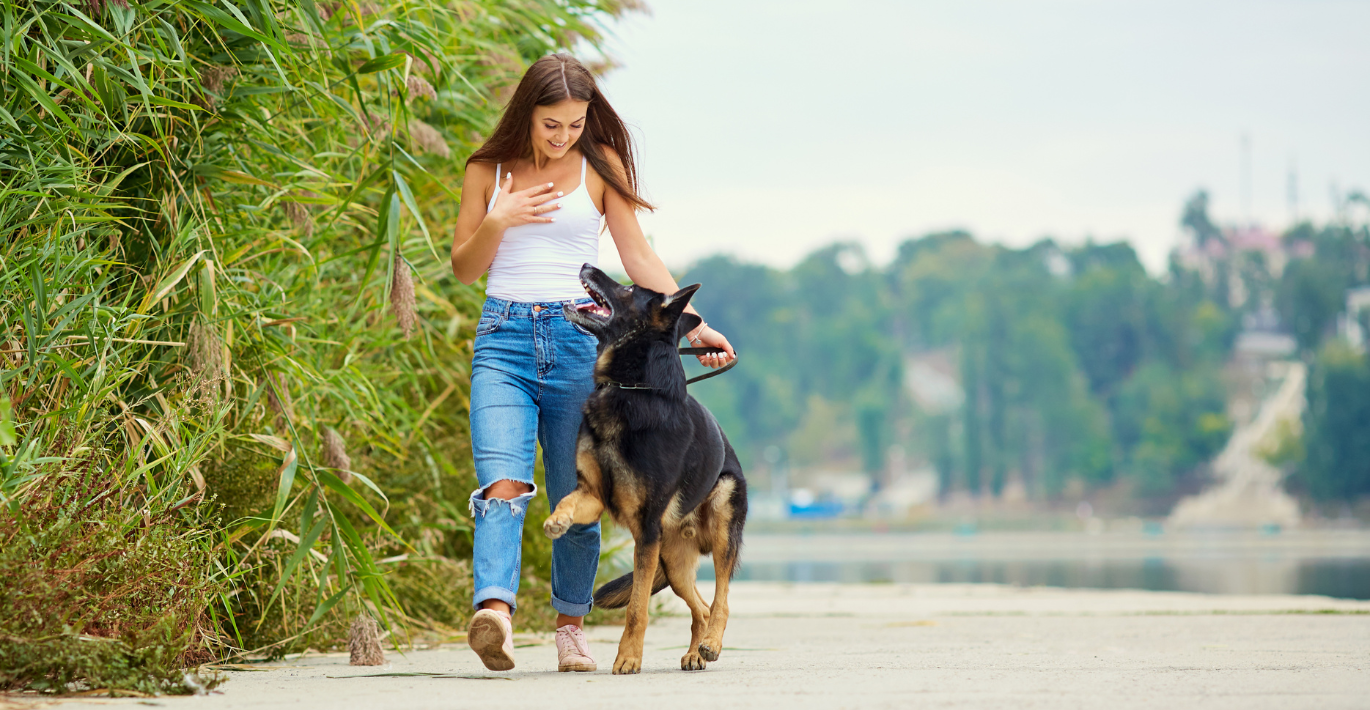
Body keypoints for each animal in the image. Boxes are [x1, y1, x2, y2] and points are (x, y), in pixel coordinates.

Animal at [542, 264, 750, 677]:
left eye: (627, 289)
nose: (587, 266)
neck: (630, 388)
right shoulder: (593, 495)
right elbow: (568, 501)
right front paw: (557, 521)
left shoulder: (646, 531)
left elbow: (637, 608)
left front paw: (628, 658)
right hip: (672, 562)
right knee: (700, 607)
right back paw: (694, 652)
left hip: (718, 523)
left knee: (721, 599)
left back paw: (712, 644)